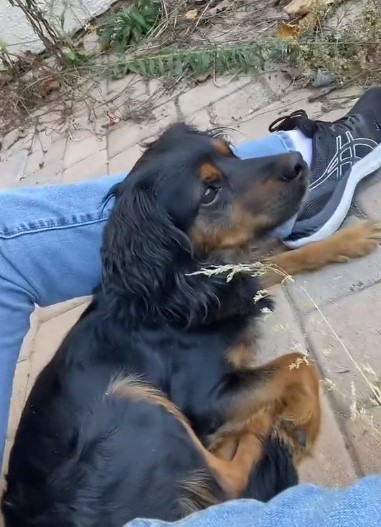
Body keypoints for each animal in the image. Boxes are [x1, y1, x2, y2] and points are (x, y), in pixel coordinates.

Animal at [2, 125, 378, 527]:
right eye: (209, 193)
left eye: (229, 152)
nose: (297, 163)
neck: (166, 299)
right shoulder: (206, 397)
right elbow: (297, 361)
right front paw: (303, 418)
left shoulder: (227, 284)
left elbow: (275, 262)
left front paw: (351, 239)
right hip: (131, 399)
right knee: (230, 486)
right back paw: (262, 424)